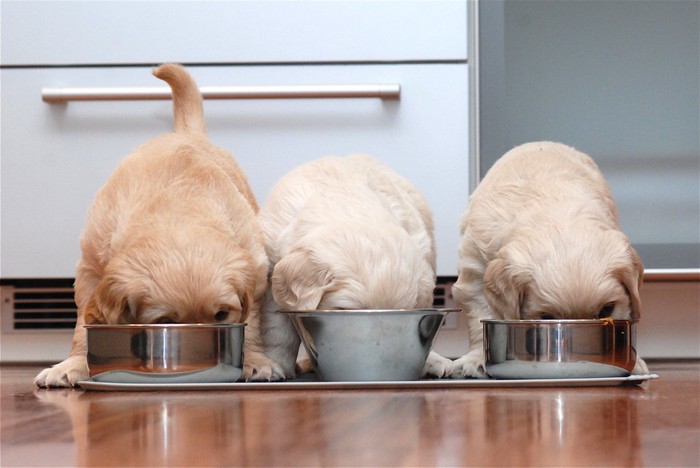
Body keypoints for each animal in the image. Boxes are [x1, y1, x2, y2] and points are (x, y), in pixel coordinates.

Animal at [34, 64, 274, 386]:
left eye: (222, 315)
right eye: (166, 322)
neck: (178, 208)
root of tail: (185, 132)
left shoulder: (257, 272)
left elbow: (253, 321)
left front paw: (255, 361)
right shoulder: (91, 268)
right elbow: (83, 324)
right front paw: (71, 365)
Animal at [452, 141, 648, 378]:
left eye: (605, 311)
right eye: (547, 317)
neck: (552, 212)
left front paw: (634, 363)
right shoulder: (475, 271)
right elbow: (480, 316)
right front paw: (476, 360)